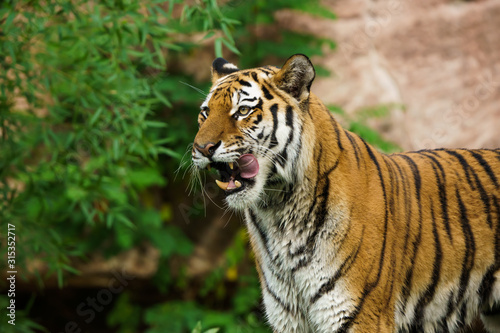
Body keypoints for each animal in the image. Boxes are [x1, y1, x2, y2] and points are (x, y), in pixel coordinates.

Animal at [190, 53, 500, 330]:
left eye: (243, 111)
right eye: (205, 113)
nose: (202, 148)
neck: (277, 210)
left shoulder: (360, 314)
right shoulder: (288, 317)